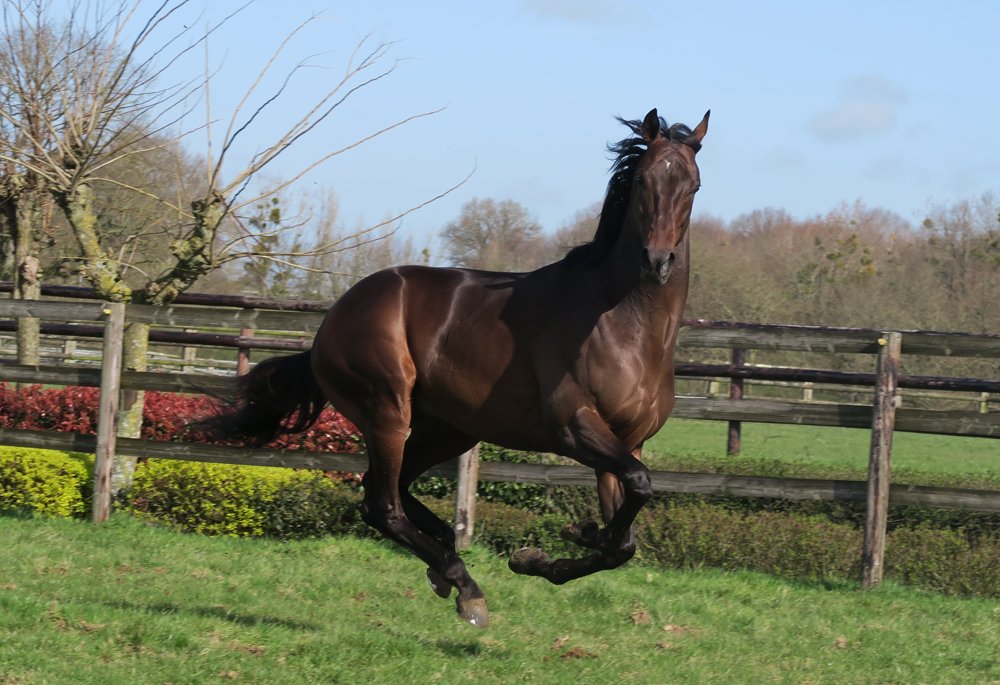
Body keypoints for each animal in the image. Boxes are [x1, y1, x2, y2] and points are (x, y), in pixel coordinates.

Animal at [201, 108, 709, 627]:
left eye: (693, 184)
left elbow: (623, 539)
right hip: (388, 413)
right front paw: (551, 548)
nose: (657, 261)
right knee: (381, 505)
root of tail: (333, 320)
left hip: (450, 429)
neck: (625, 323)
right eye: (644, 180)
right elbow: (638, 490)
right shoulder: (574, 427)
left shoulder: (627, 443)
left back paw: (444, 554)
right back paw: (463, 584)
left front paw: (557, 547)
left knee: (390, 489)